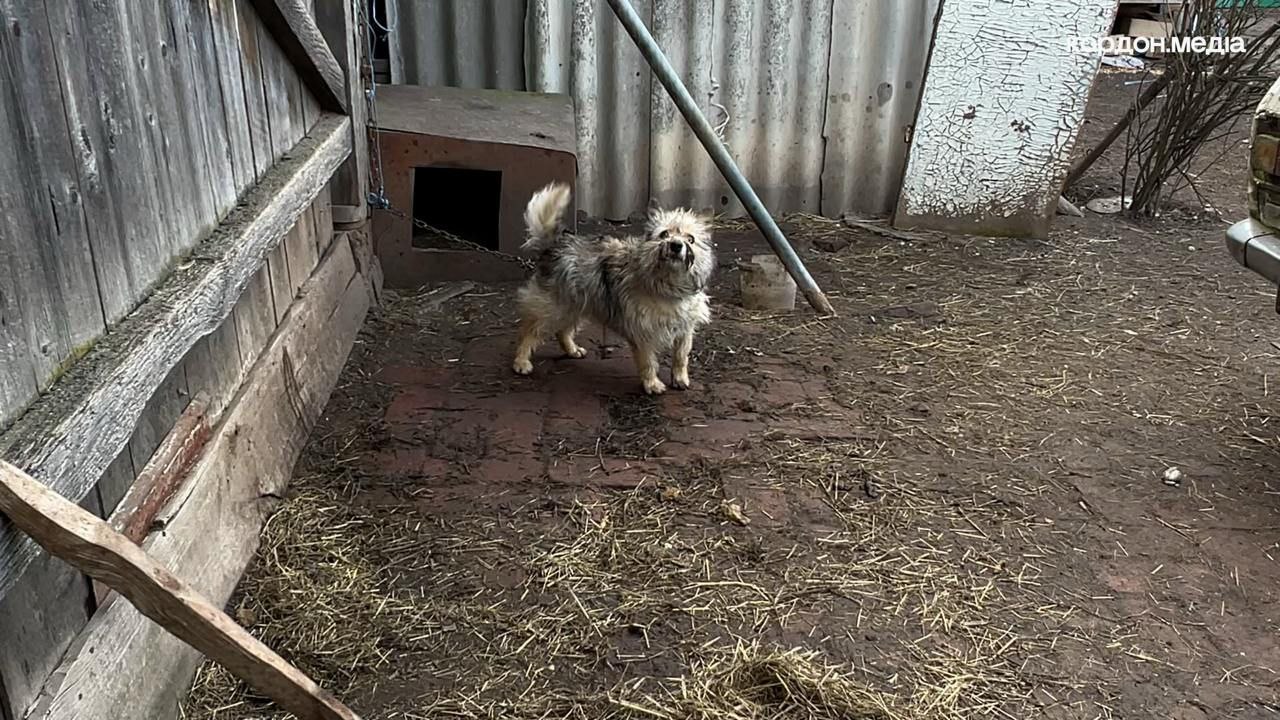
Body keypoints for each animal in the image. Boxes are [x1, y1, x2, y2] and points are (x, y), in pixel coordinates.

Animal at [509, 179, 716, 392]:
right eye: (664, 234)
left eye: (690, 239)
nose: (676, 245)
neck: (669, 285)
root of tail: (555, 245)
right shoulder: (643, 333)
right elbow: (648, 361)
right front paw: (651, 383)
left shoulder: (685, 330)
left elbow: (681, 356)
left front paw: (680, 378)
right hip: (552, 307)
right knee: (528, 332)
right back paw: (521, 361)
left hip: (577, 304)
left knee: (563, 330)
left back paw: (572, 350)